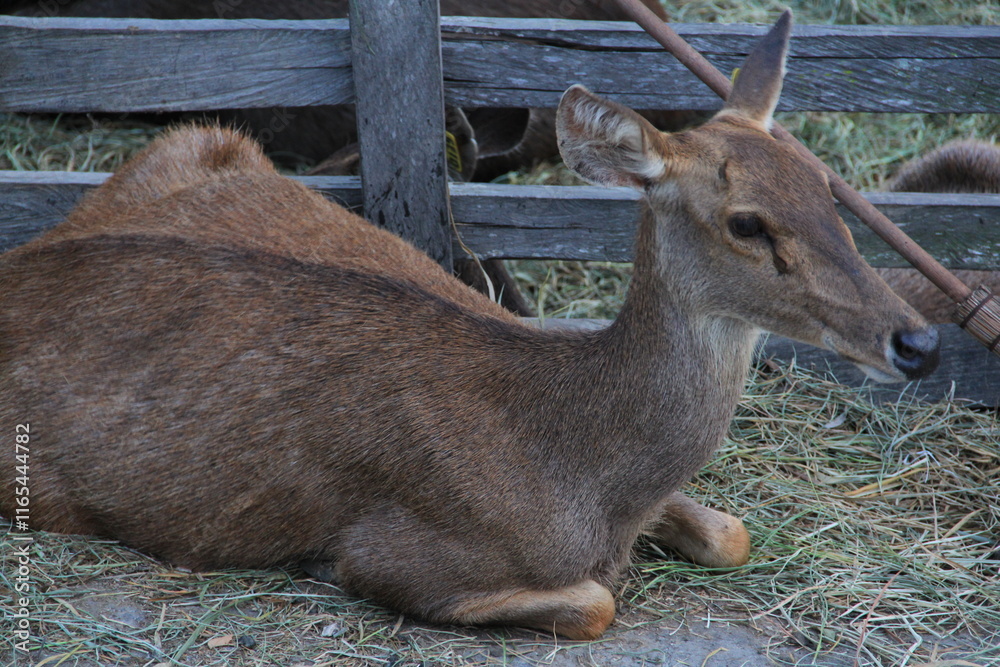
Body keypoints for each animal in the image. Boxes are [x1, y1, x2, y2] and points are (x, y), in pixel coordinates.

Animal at [0, 12, 940, 639]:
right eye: (747, 222)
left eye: (827, 186)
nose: (920, 340)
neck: (579, 465)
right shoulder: (401, 547)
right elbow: (595, 601)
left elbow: (730, 532)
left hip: (197, 139)